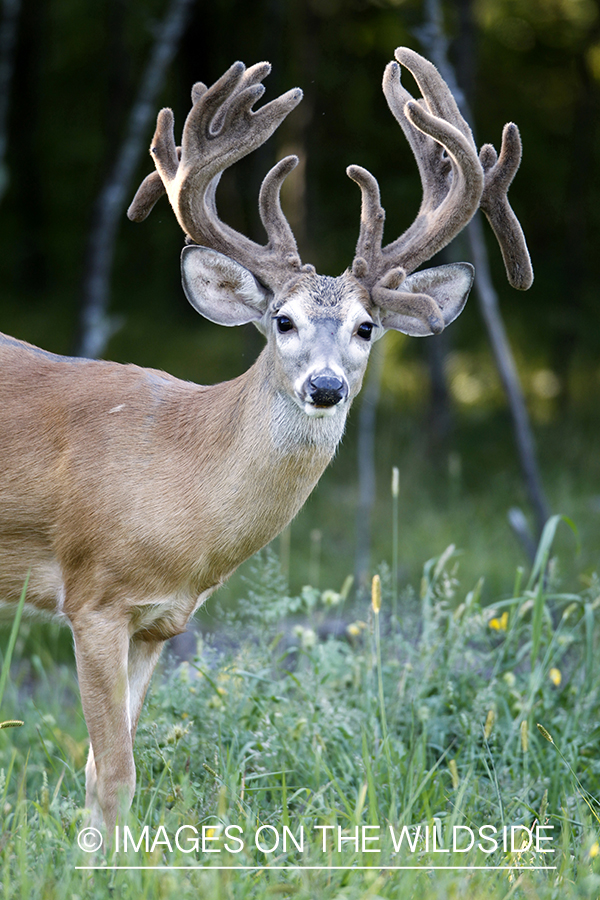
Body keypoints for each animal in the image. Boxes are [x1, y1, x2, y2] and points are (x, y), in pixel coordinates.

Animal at [1, 49, 536, 832]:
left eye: (366, 328)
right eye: (282, 320)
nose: (326, 387)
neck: (180, 474)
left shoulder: (158, 623)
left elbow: (104, 769)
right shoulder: (91, 596)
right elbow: (114, 773)